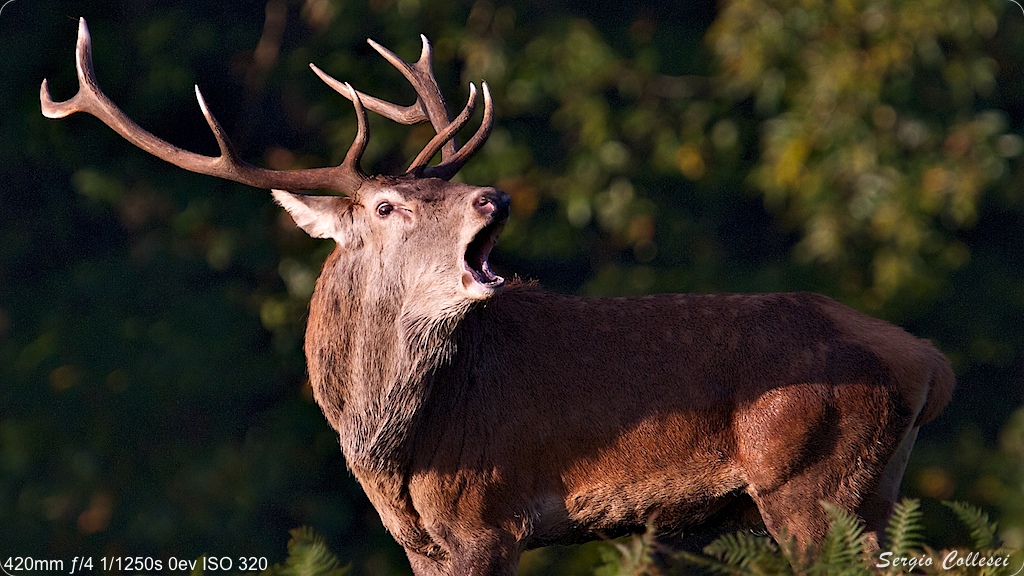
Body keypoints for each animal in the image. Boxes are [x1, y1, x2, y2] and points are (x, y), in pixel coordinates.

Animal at [42, 18, 955, 575]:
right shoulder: (421, 542)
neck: (389, 445)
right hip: (871, 487)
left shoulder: (486, 515)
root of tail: (929, 360)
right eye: (388, 205)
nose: (496, 196)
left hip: (812, 482)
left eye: (446, 190)